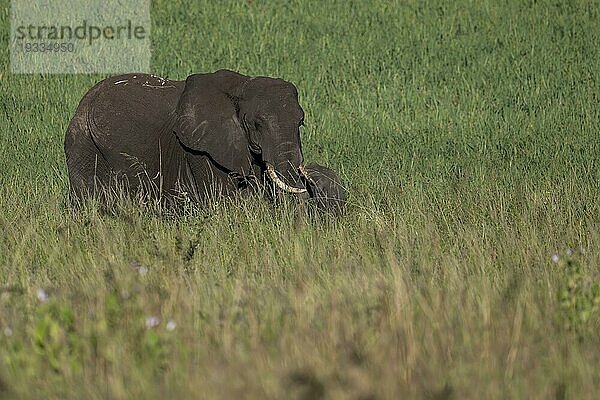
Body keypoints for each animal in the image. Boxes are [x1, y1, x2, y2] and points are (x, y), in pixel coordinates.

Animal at [64, 69, 346, 212]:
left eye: (301, 123)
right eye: (257, 124)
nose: (311, 172)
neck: (242, 85)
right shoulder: (200, 148)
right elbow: (223, 197)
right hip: (82, 144)